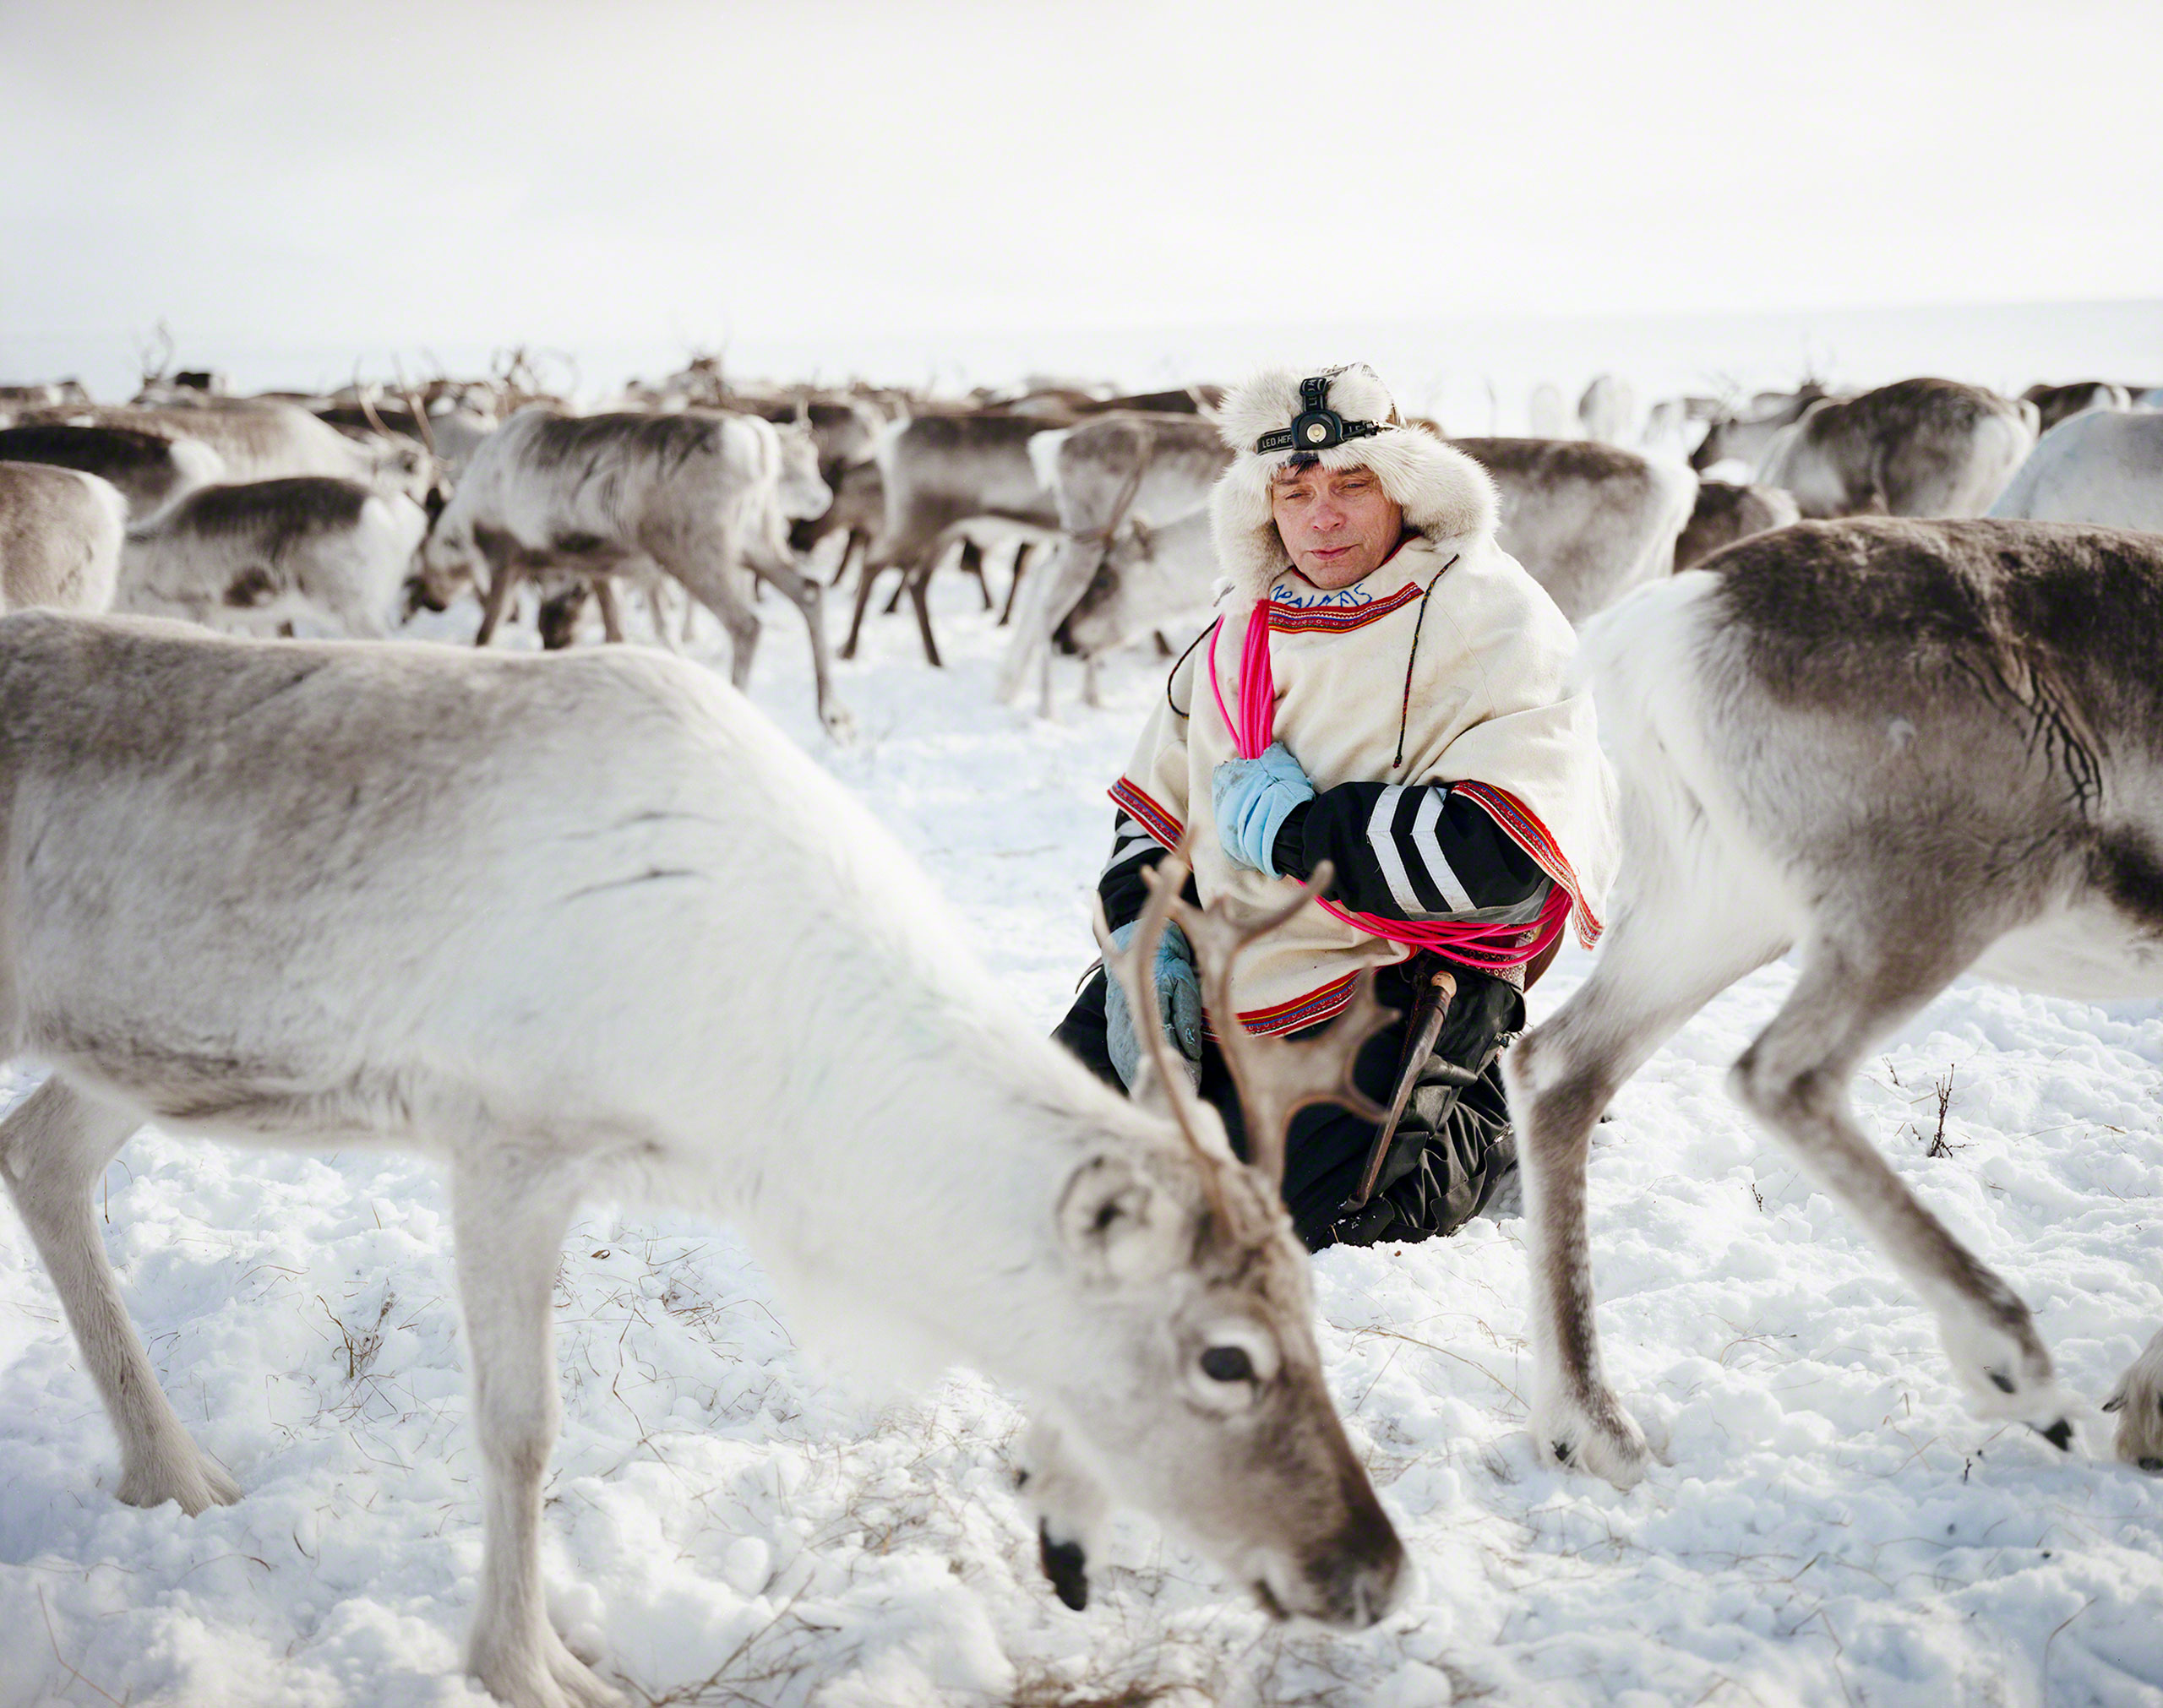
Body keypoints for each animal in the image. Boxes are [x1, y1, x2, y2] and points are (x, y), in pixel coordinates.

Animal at [0, 612, 1405, 1708]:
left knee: (39, 1149)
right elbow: (522, 1428)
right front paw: (529, 1665)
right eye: (1227, 1356)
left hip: (130, 1048)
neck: (767, 1107)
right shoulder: (509, 1138)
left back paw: (175, 1474)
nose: (1375, 1570)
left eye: (1315, 1309)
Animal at [1502, 517, 2163, 1488]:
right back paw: (2016, 1371)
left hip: (1717, 907)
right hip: (1924, 907)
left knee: (1559, 1068)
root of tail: (1668, 619)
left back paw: (1590, 1425)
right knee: (1782, 1076)